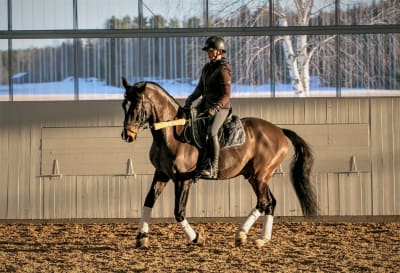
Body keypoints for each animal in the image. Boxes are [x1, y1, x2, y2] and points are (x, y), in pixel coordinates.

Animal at [120, 77, 318, 248]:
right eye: (124, 105)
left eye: (137, 106)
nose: (127, 135)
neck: (171, 133)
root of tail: (279, 131)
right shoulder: (161, 174)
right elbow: (148, 202)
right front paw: (142, 237)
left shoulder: (183, 180)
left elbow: (178, 212)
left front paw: (196, 238)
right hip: (255, 177)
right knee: (270, 202)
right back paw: (262, 239)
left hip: (260, 175)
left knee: (263, 202)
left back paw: (241, 234)